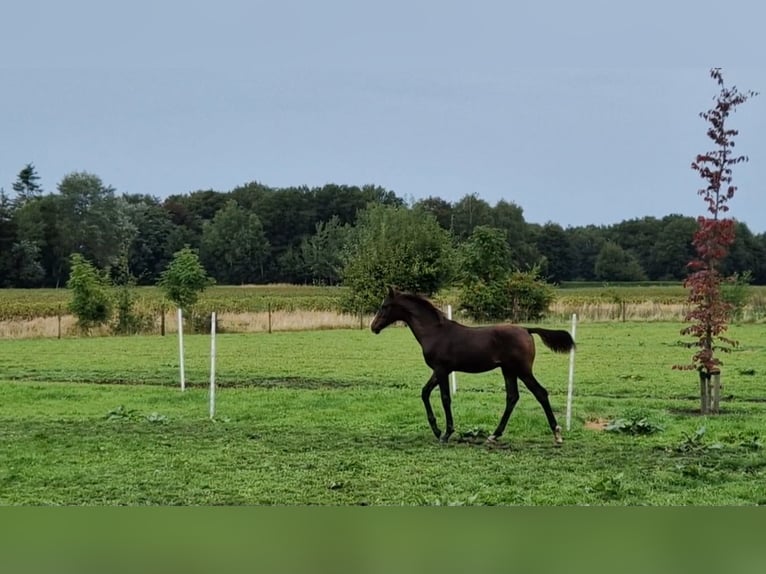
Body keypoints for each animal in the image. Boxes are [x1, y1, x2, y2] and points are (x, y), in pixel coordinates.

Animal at [372, 288, 576, 446]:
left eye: (384, 306)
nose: (373, 327)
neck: (435, 332)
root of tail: (526, 329)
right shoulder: (439, 371)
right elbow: (425, 392)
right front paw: (437, 430)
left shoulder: (442, 370)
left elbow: (445, 398)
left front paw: (446, 433)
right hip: (508, 370)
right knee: (512, 397)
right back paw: (494, 435)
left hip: (522, 370)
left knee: (540, 393)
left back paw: (557, 434)